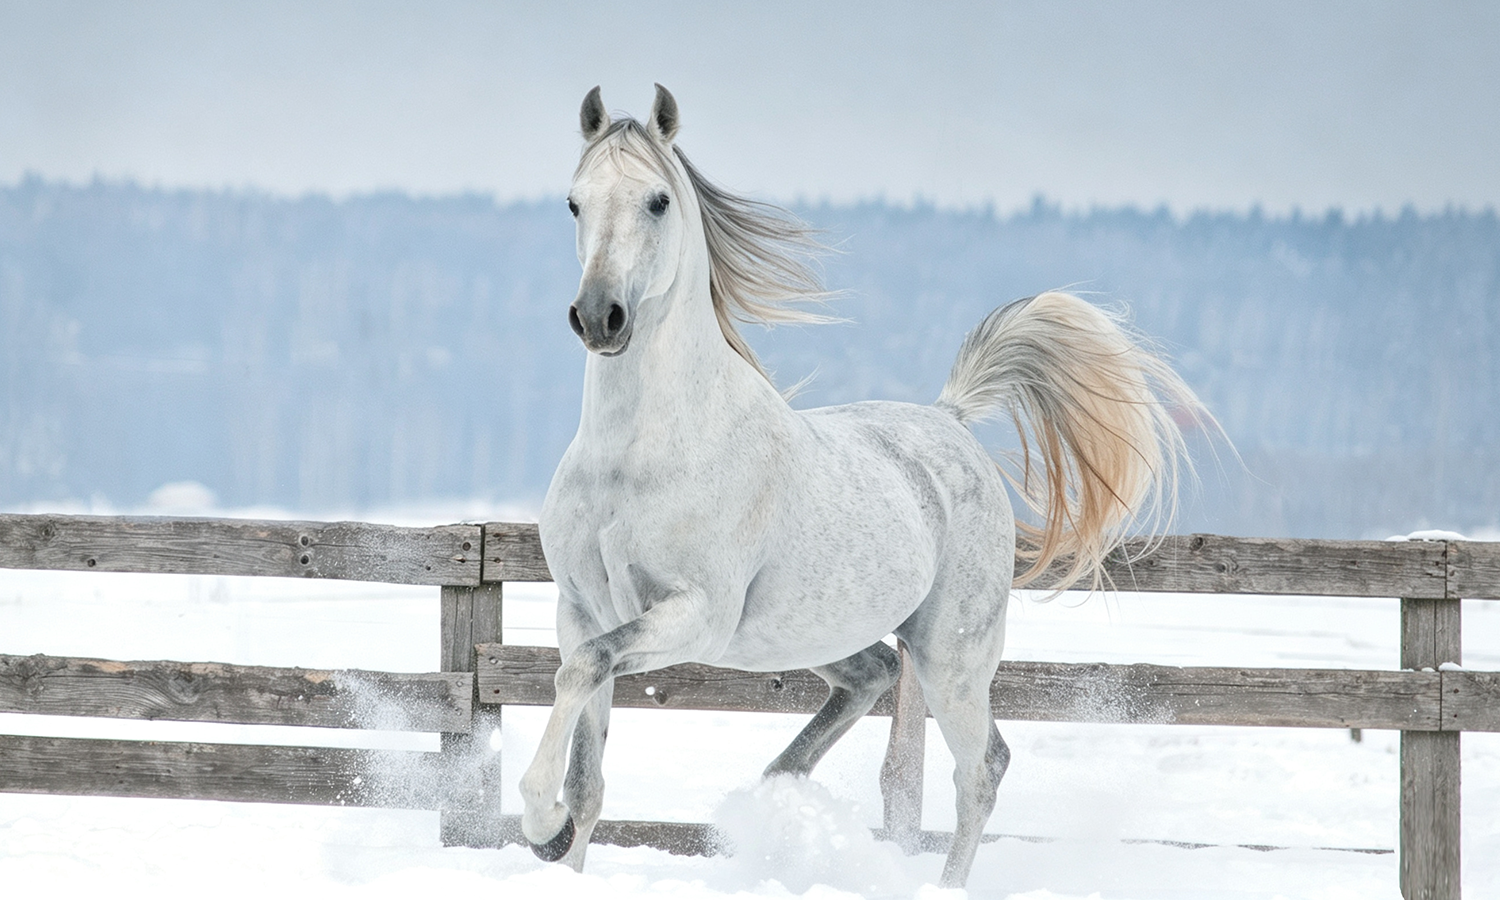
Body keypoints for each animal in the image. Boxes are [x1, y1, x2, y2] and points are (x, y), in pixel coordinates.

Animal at [518, 84, 1200, 889]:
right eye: (574, 202)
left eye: (657, 200)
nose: (600, 316)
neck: (636, 458)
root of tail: (950, 418)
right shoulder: (582, 608)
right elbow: (587, 760)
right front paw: (559, 847)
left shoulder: (695, 613)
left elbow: (582, 673)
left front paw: (538, 820)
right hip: (812, 633)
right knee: (874, 676)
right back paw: (776, 793)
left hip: (951, 655)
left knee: (982, 767)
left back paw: (939, 883)